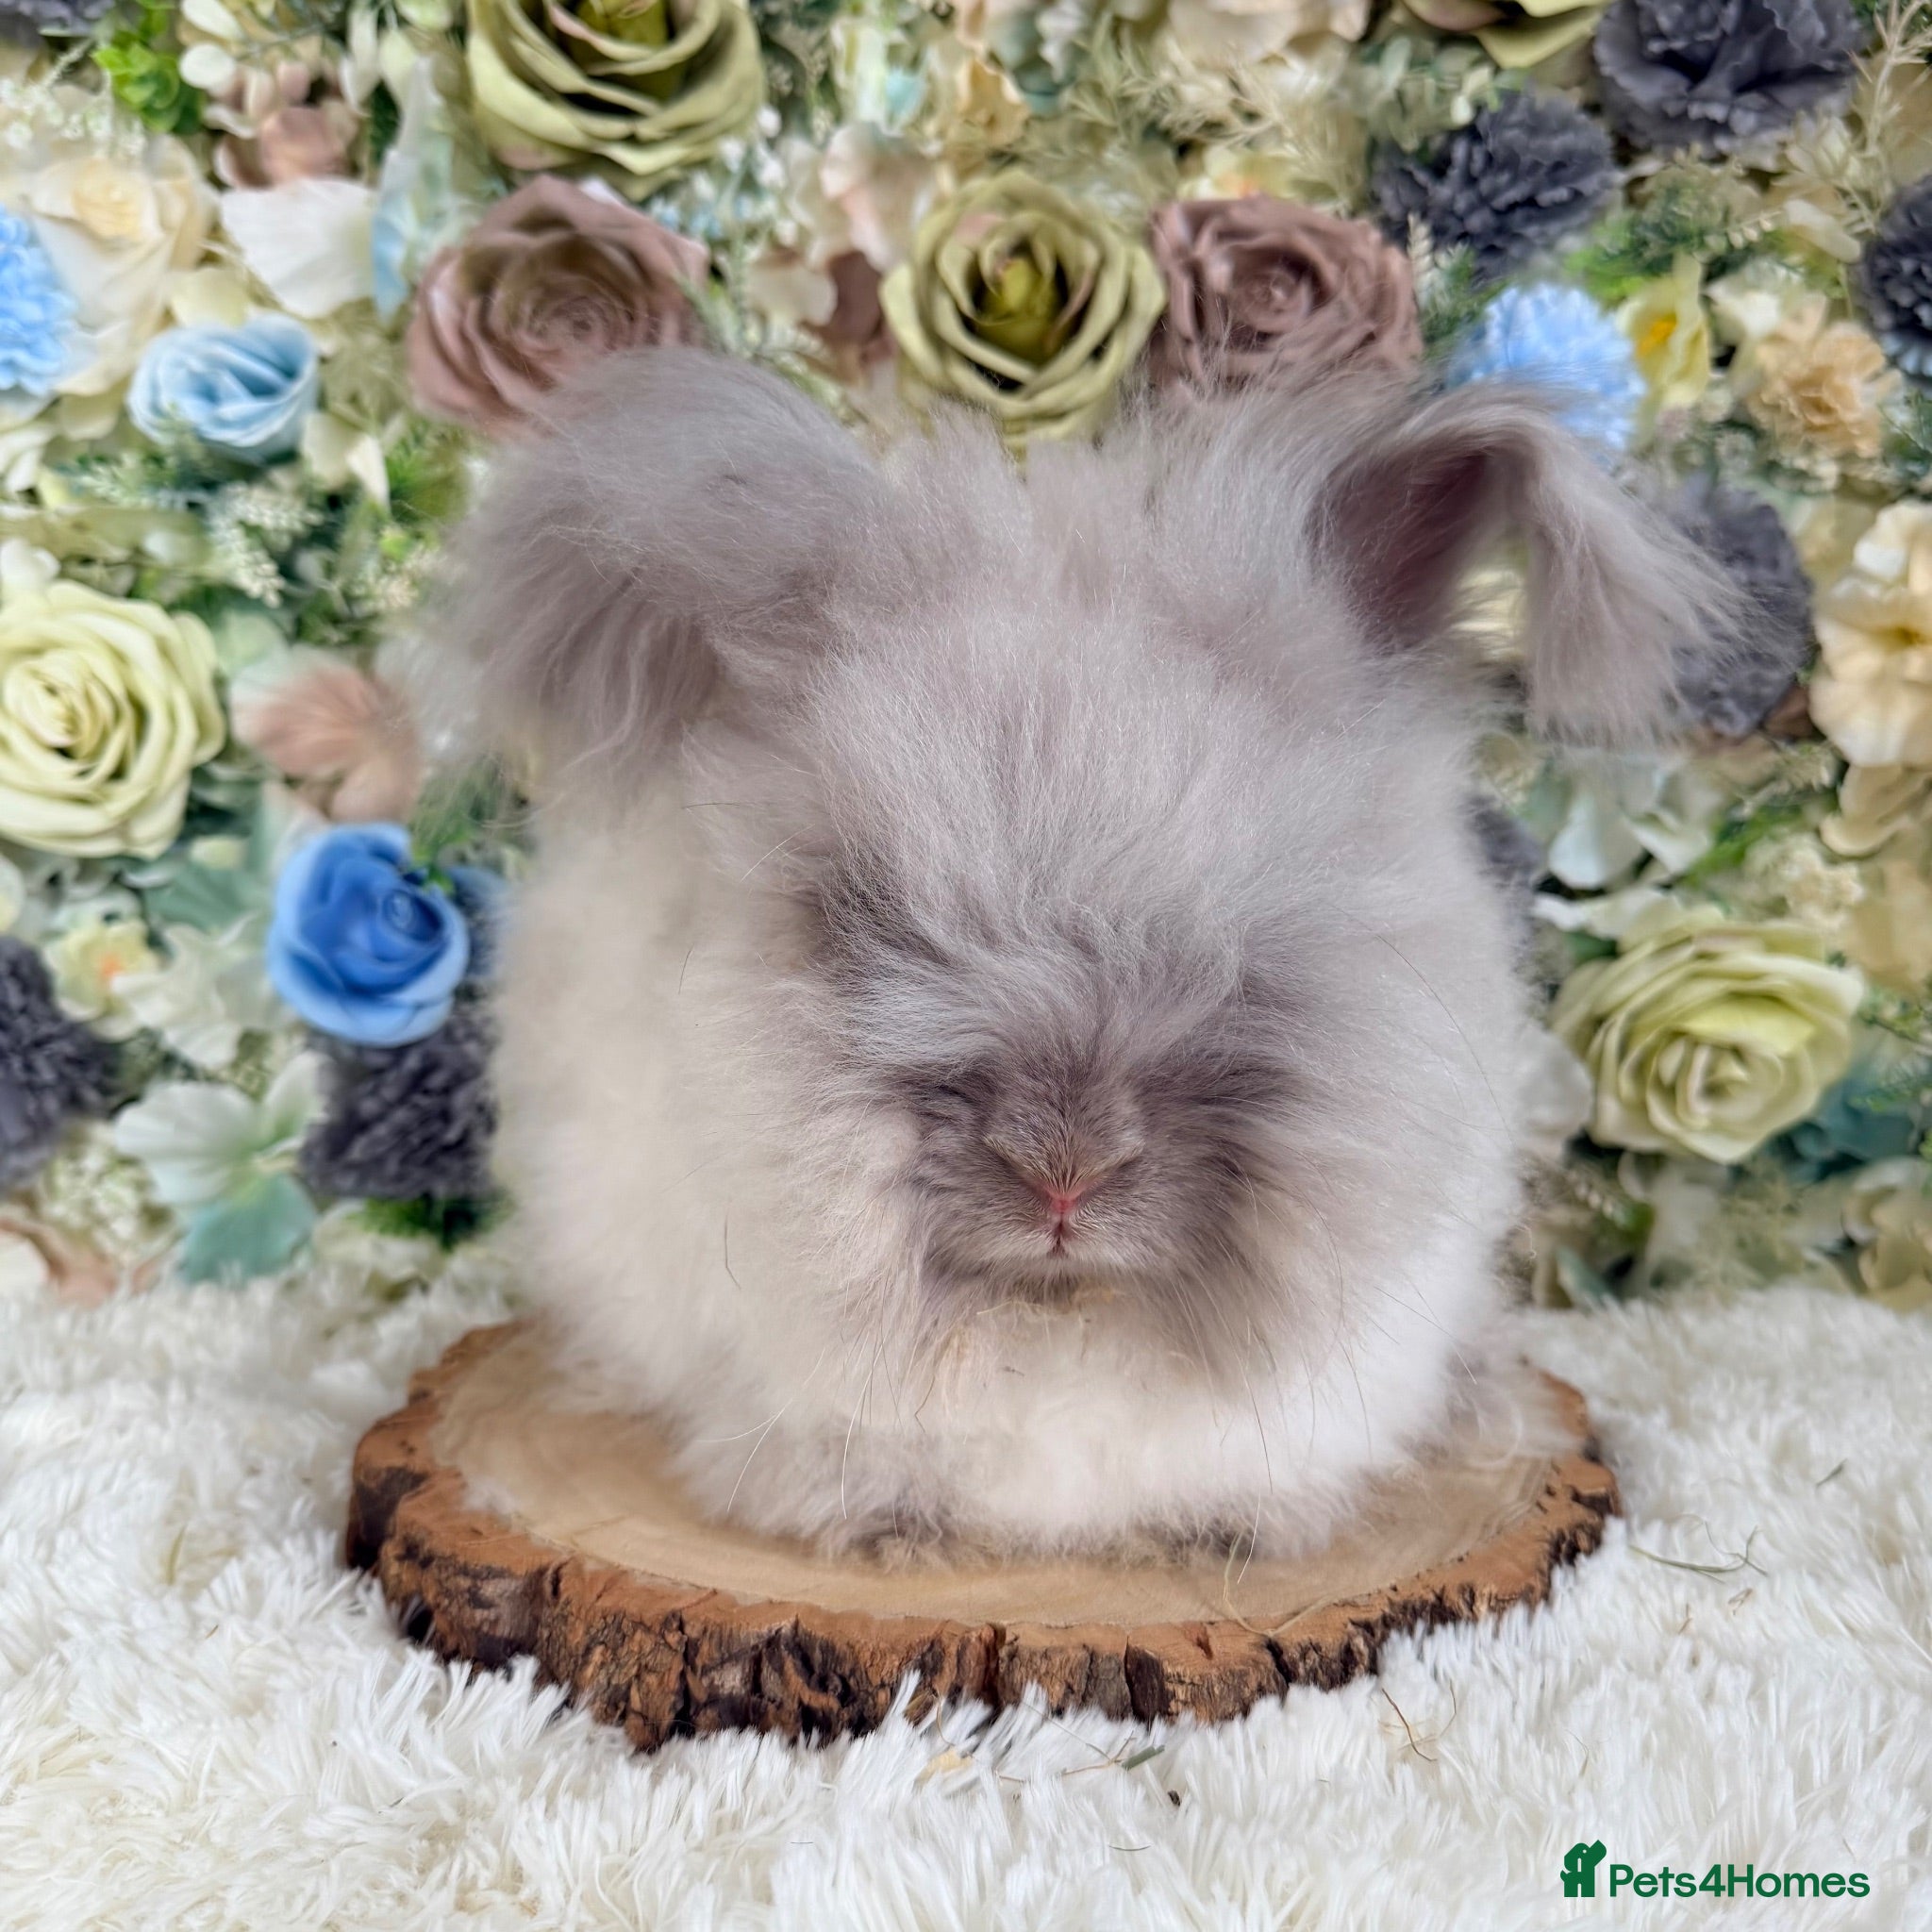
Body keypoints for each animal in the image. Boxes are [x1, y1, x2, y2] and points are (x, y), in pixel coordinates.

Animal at [412, 347, 1731, 1561]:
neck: (1056, 1318)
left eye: (1266, 920)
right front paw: (881, 1527)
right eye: (864, 912)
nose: (1062, 1171)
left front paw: (1235, 1526)